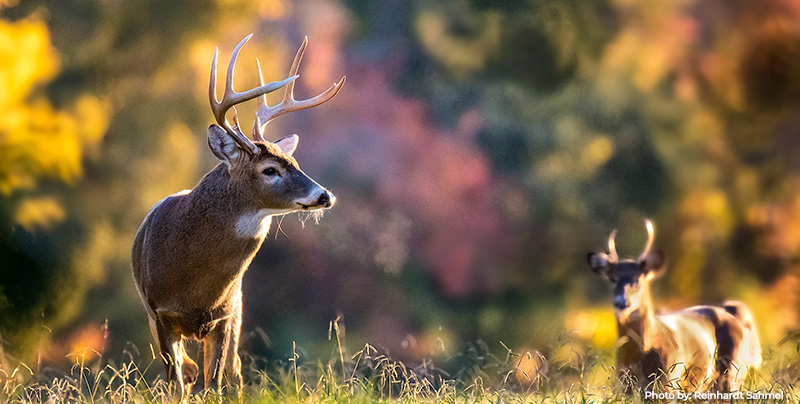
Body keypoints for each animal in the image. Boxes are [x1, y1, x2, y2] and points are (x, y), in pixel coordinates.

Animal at [131, 34, 344, 400]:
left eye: (295, 161)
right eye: (270, 169)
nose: (324, 196)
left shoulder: (224, 316)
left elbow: (214, 385)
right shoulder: (159, 314)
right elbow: (177, 384)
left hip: (238, 313)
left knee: (234, 372)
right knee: (187, 371)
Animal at [587, 219, 762, 393]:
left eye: (637, 280)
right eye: (612, 279)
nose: (622, 302)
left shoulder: (670, 378)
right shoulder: (625, 384)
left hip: (733, 371)